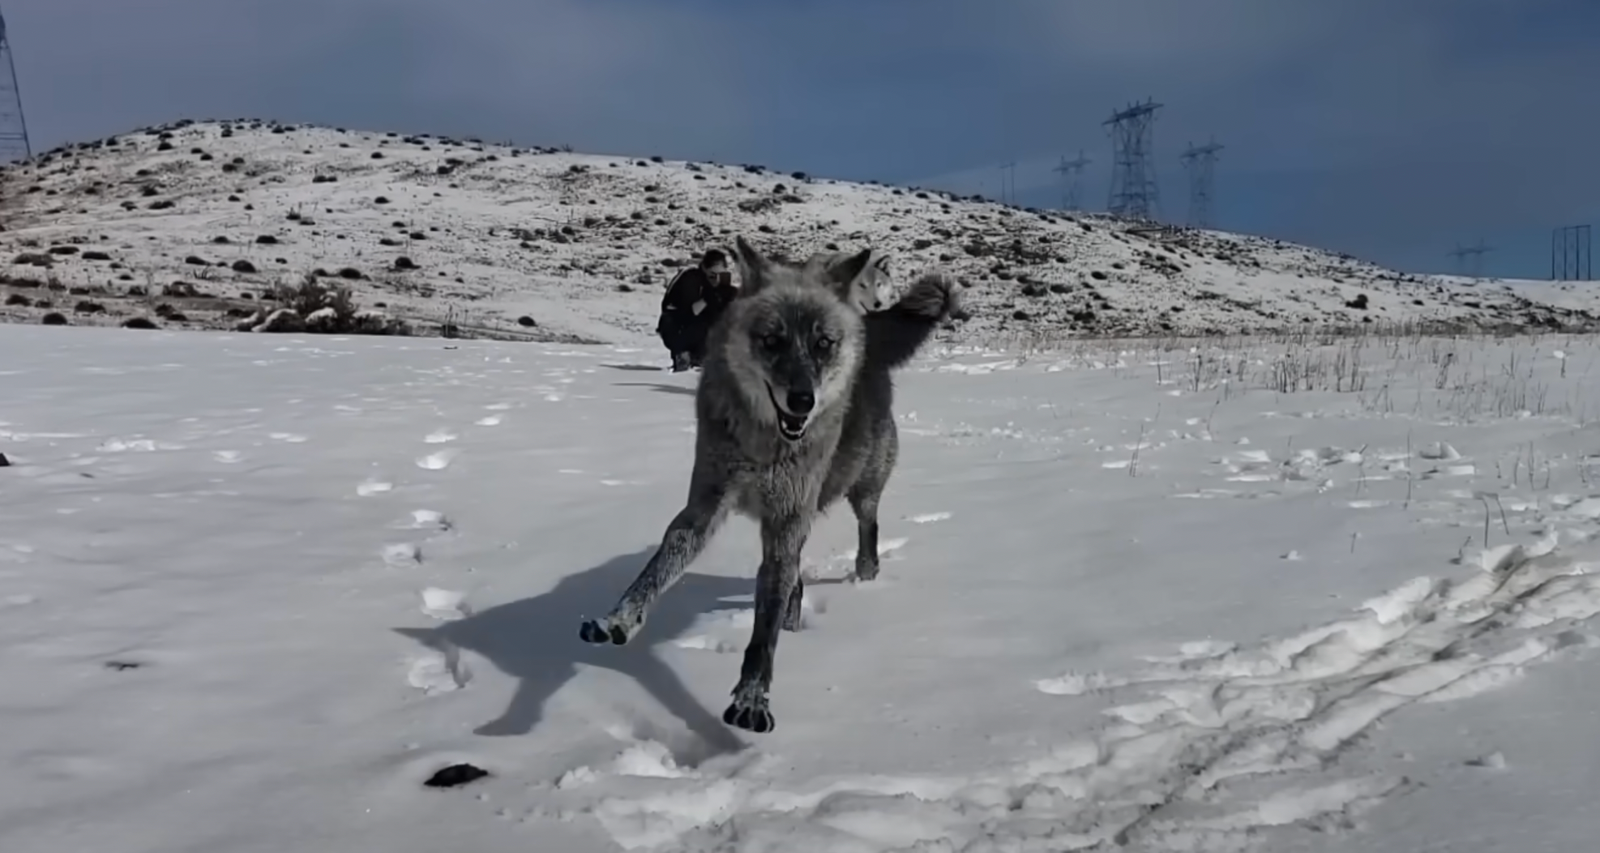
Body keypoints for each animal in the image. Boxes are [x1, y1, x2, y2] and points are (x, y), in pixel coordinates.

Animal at [578, 235, 961, 733]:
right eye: (772, 341)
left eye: (822, 344)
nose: (802, 401)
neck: (764, 446)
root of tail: (867, 335)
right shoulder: (703, 509)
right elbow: (656, 571)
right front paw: (616, 621)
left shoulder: (785, 521)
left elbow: (763, 633)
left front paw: (752, 699)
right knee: (797, 579)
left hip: (860, 487)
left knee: (867, 527)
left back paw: (865, 574)